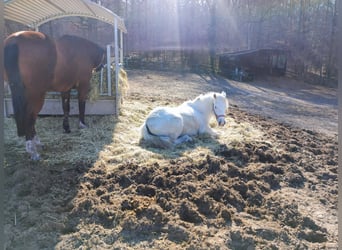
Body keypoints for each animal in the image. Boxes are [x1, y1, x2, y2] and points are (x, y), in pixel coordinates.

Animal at [4, 30, 105, 160]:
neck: (84, 51)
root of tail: (15, 40)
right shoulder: (83, 86)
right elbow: (81, 105)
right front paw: (82, 125)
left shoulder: (65, 89)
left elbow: (66, 108)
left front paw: (66, 128)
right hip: (36, 95)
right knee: (30, 117)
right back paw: (33, 150)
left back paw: (36, 143)